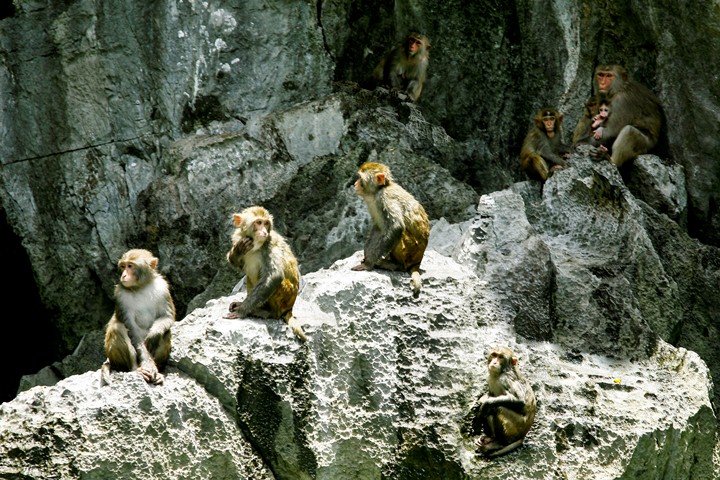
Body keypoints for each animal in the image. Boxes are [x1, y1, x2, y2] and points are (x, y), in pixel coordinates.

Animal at [101, 249, 175, 386]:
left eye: (130, 266)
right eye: (123, 266)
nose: (123, 275)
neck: (141, 287)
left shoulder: (162, 287)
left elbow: (167, 317)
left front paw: (153, 335)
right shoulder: (121, 295)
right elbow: (131, 329)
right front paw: (148, 365)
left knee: (166, 331)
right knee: (117, 328)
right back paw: (136, 370)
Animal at [224, 206, 307, 342]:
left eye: (266, 223)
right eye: (258, 222)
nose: (264, 231)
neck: (256, 245)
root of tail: (289, 309)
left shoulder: (271, 243)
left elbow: (274, 276)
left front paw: (241, 311)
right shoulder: (240, 238)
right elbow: (239, 265)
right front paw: (238, 251)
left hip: (284, 300)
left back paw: (267, 312)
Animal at [350, 162, 430, 297]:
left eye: (360, 178)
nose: (355, 184)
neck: (379, 190)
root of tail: (418, 262)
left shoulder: (385, 198)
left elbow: (396, 227)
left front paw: (369, 263)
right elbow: (378, 228)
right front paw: (366, 256)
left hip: (410, 252)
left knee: (401, 235)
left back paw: (395, 265)